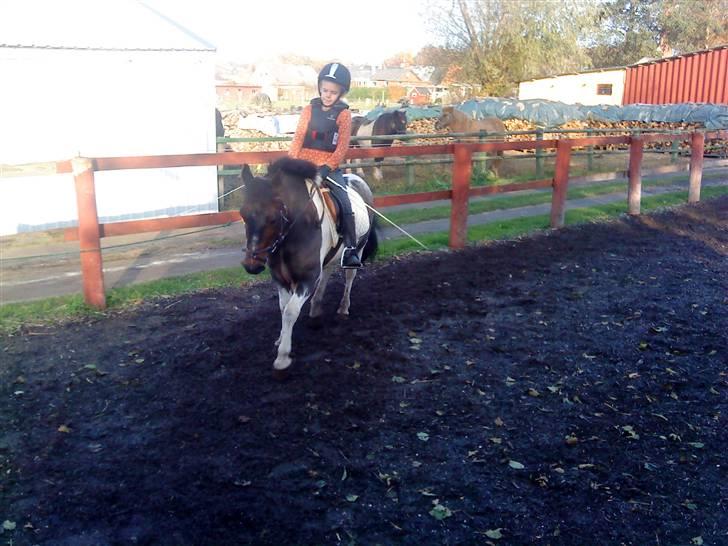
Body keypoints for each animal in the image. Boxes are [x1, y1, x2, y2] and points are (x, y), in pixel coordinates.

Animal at [240, 157, 378, 376]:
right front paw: (281, 338)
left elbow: (290, 311)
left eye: (272, 218)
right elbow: (283, 308)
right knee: (327, 272)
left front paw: (282, 357)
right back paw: (315, 309)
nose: (251, 265)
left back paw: (343, 308)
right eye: (243, 214)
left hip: (358, 249)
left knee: (349, 278)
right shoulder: (281, 279)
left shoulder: (306, 279)